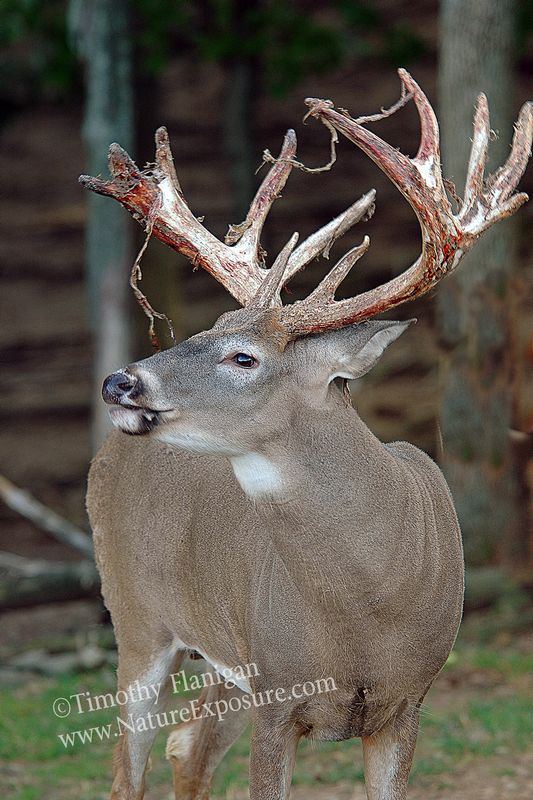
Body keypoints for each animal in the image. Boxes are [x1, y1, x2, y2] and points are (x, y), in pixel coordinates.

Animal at [81, 70, 532, 800]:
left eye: (243, 357)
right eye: (207, 328)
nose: (120, 383)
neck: (368, 605)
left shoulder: (406, 705)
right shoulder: (275, 697)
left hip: (219, 653)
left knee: (188, 746)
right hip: (135, 616)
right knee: (129, 766)